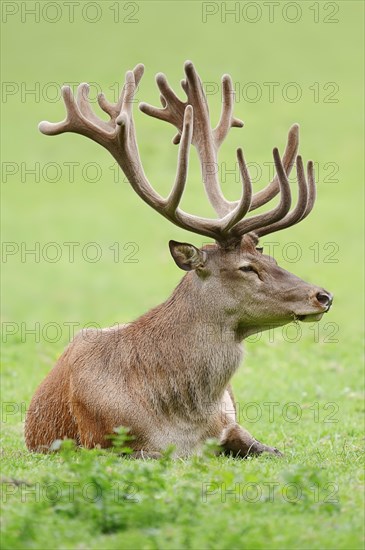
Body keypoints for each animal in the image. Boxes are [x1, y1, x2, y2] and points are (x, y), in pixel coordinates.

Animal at [24, 60, 332, 460]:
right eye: (246, 268)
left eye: (272, 258)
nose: (322, 295)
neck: (185, 422)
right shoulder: (112, 443)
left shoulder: (232, 425)